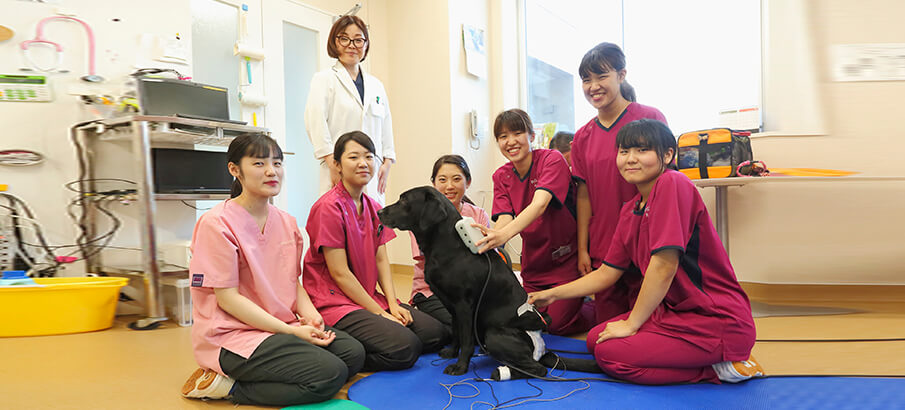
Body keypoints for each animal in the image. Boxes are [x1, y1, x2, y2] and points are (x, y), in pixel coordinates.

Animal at [376, 187, 600, 380]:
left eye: (404, 200)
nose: (379, 211)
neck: (447, 245)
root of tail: (543, 349)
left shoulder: (464, 306)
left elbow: (466, 341)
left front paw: (460, 367)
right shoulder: (452, 307)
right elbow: (456, 333)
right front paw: (451, 352)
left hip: (493, 334)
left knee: (538, 369)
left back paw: (502, 373)